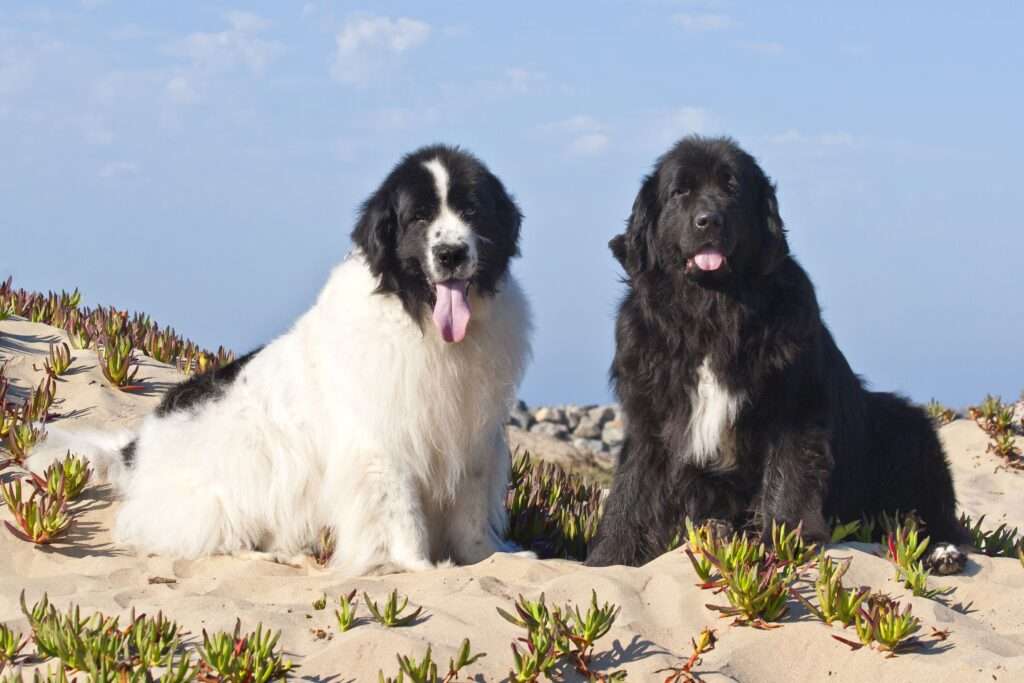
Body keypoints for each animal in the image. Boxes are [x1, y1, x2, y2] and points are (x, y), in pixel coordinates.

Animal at [49, 145, 528, 577]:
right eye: (419, 218)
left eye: (471, 211)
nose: (452, 254)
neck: (420, 321)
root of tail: (135, 448)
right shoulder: (383, 446)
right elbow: (402, 515)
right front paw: (419, 568)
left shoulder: (473, 438)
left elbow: (471, 516)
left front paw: (491, 558)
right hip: (222, 497)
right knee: (217, 538)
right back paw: (279, 555)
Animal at [585, 136, 966, 573]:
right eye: (680, 192)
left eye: (732, 188)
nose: (708, 221)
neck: (712, 313)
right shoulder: (651, 415)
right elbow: (632, 490)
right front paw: (608, 558)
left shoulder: (793, 405)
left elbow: (788, 475)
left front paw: (783, 543)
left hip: (908, 428)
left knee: (931, 516)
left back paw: (941, 552)